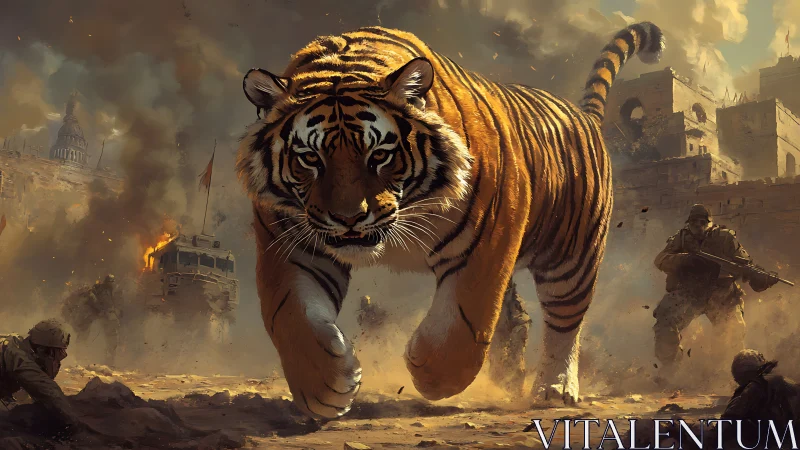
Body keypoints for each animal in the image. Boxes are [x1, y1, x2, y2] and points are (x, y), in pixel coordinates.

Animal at [236, 22, 665, 419]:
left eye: (379, 155)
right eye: (310, 158)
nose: (349, 218)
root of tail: (585, 115)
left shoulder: (489, 235)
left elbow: (465, 321)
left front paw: (428, 371)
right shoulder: (291, 245)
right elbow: (291, 315)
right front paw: (324, 387)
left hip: (571, 257)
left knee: (564, 323)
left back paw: (554, 390)